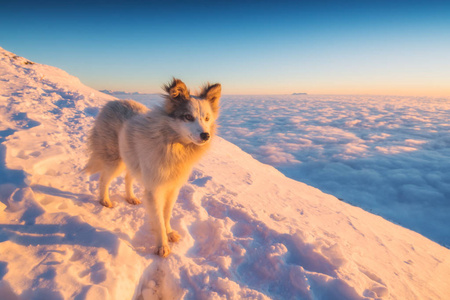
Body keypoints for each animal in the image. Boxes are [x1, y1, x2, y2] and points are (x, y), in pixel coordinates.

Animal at [85, 78, 221, 256]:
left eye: (206, 118)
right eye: (188, 117)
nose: (206, 135)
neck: (173, 145)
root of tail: (113, 102)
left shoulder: (172, 188)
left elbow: (166, 214)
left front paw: (169, 233)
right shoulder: (155, 190)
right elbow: (158, 219)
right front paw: (162, 246)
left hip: (131, 160)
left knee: (128, 178)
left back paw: (130, 197)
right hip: (115, 161)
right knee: (104, 179)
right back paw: (105, 200)